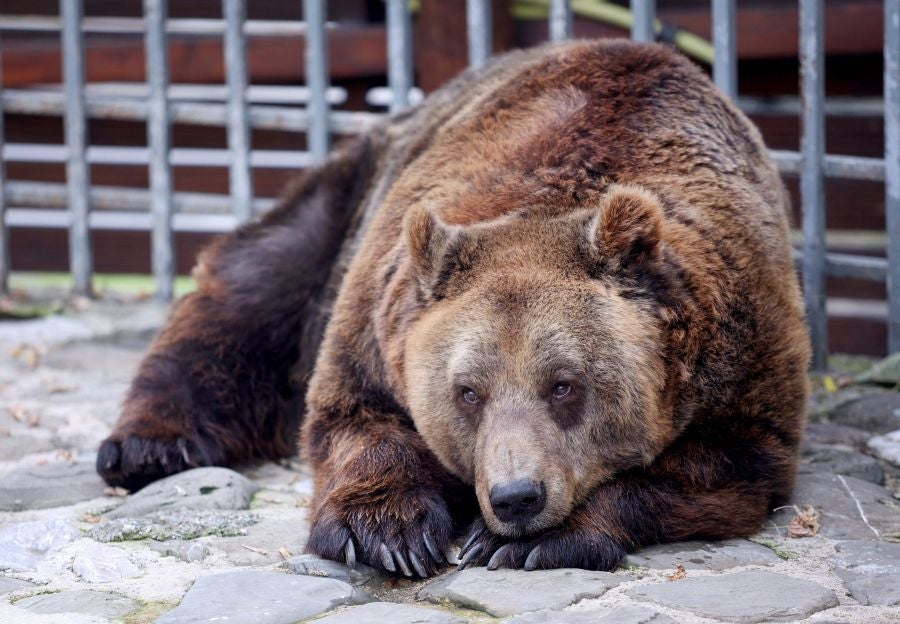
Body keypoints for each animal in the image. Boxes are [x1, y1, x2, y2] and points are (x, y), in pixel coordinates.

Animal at [97, 39, 810, 576]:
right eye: (467, 392)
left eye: (565, 385)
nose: (517, 497)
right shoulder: (377, 314)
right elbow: (356, 420)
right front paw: (387, 532)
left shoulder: (741, 352)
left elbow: (726, 466)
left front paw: (526, 540)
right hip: (346, 204)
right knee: (251, 290)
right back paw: (147, 448)